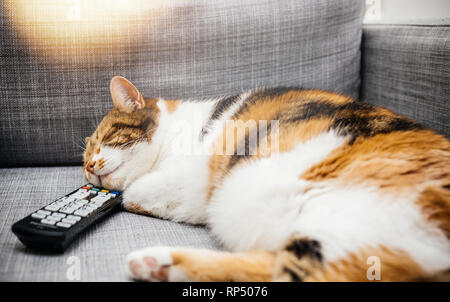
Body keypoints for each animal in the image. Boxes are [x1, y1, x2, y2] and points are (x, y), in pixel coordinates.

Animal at [82, 76, 448, 282]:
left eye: (104, 138)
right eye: (84, 160)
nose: (89, 166)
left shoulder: (188, 182)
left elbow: (134, 192)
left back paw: (158, 261)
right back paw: (157, 265)